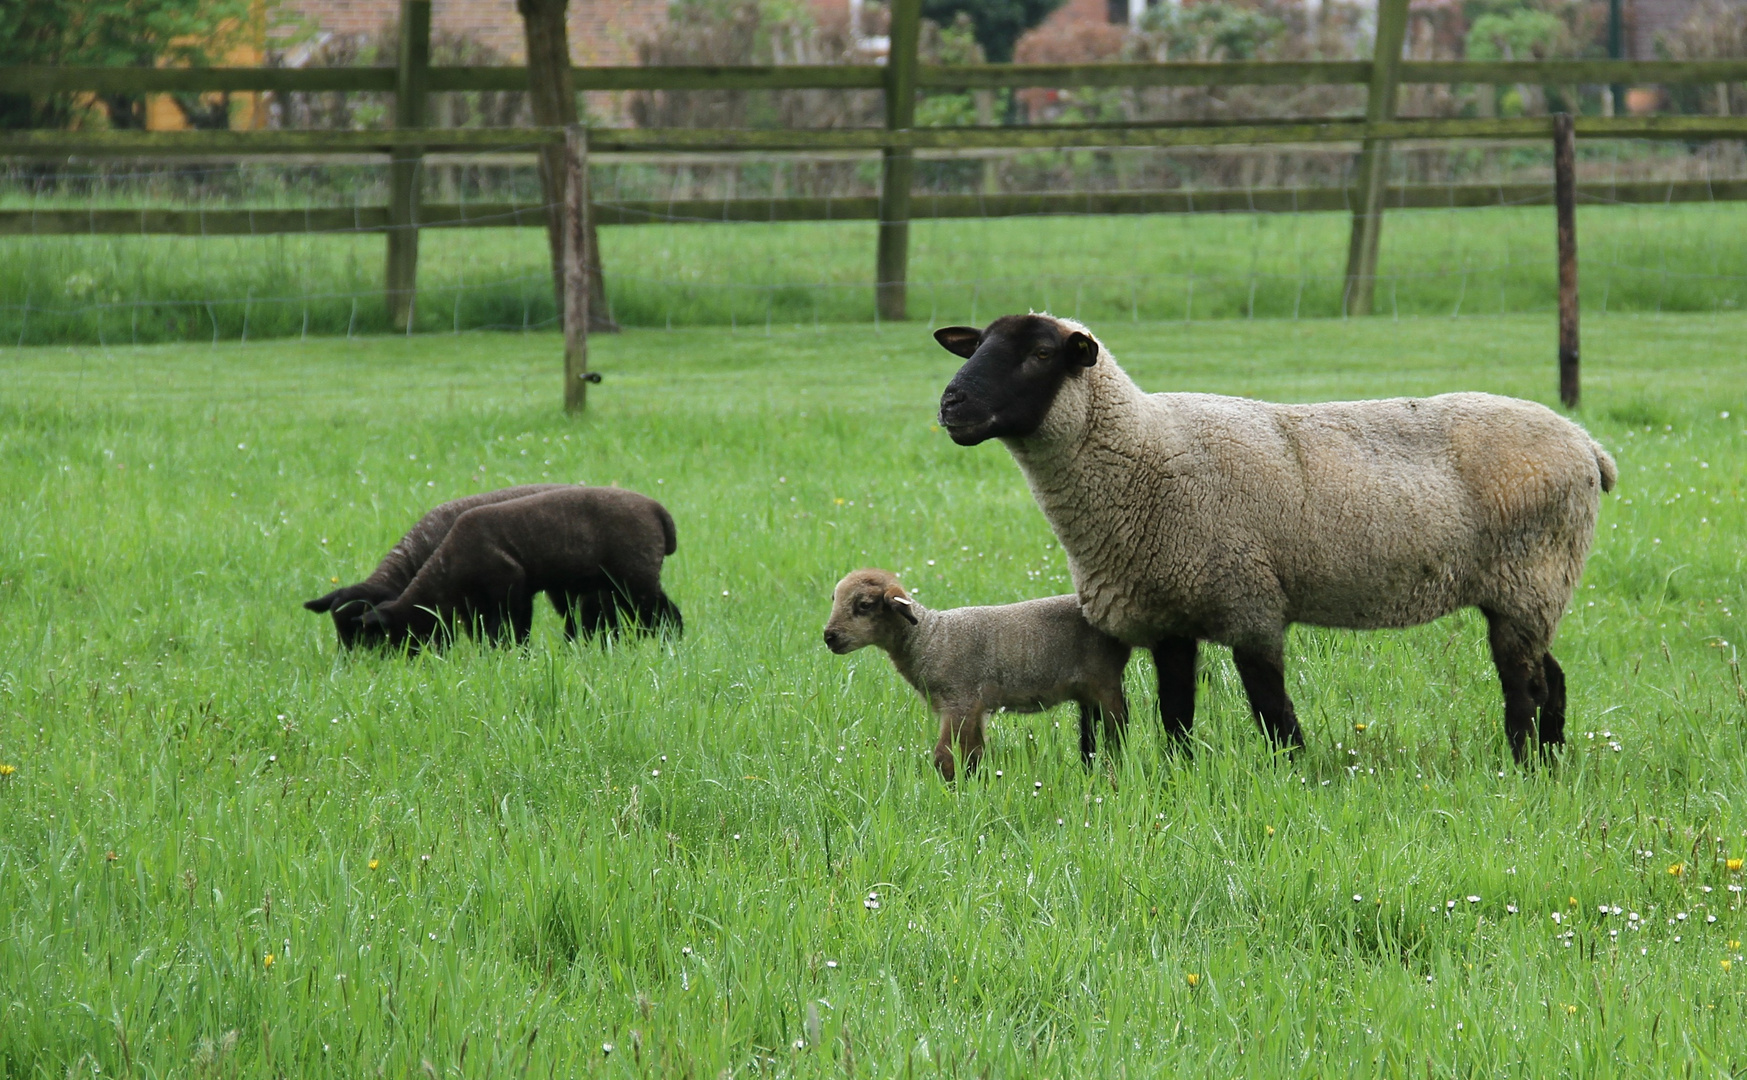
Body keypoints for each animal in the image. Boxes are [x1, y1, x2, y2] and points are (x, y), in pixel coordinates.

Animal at [356, 485, 681, 646]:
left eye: (395, 638)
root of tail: (659, 512)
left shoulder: (509, 585)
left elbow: (507, 630)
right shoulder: (494, 599)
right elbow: (500, 632)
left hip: (635, 576)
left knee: (666, 615)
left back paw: (669, 645)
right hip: (618, 582)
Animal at [828, 566, 1139, 779]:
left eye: (864, 605)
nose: (828, 637)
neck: (929, 638)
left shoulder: (960, 701)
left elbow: (945, 757)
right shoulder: (973, 707)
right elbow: (973, 754)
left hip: (1105, 681)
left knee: (1117, 729)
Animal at [936, 311, 1614, 765]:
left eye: (1040, 354)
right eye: (977, 346)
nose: (950, 404)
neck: (1143, 452)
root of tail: (1586, 444)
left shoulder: (1249, 600)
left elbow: (1270, 708)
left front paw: (1295, 773)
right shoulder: (1170, 613)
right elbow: (1176, 713)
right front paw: (1181, 778)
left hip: (1529, 574)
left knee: (1524, 685)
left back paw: (1521, 768)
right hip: (1530, 589)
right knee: (1551, 678)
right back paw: (1550, 764)